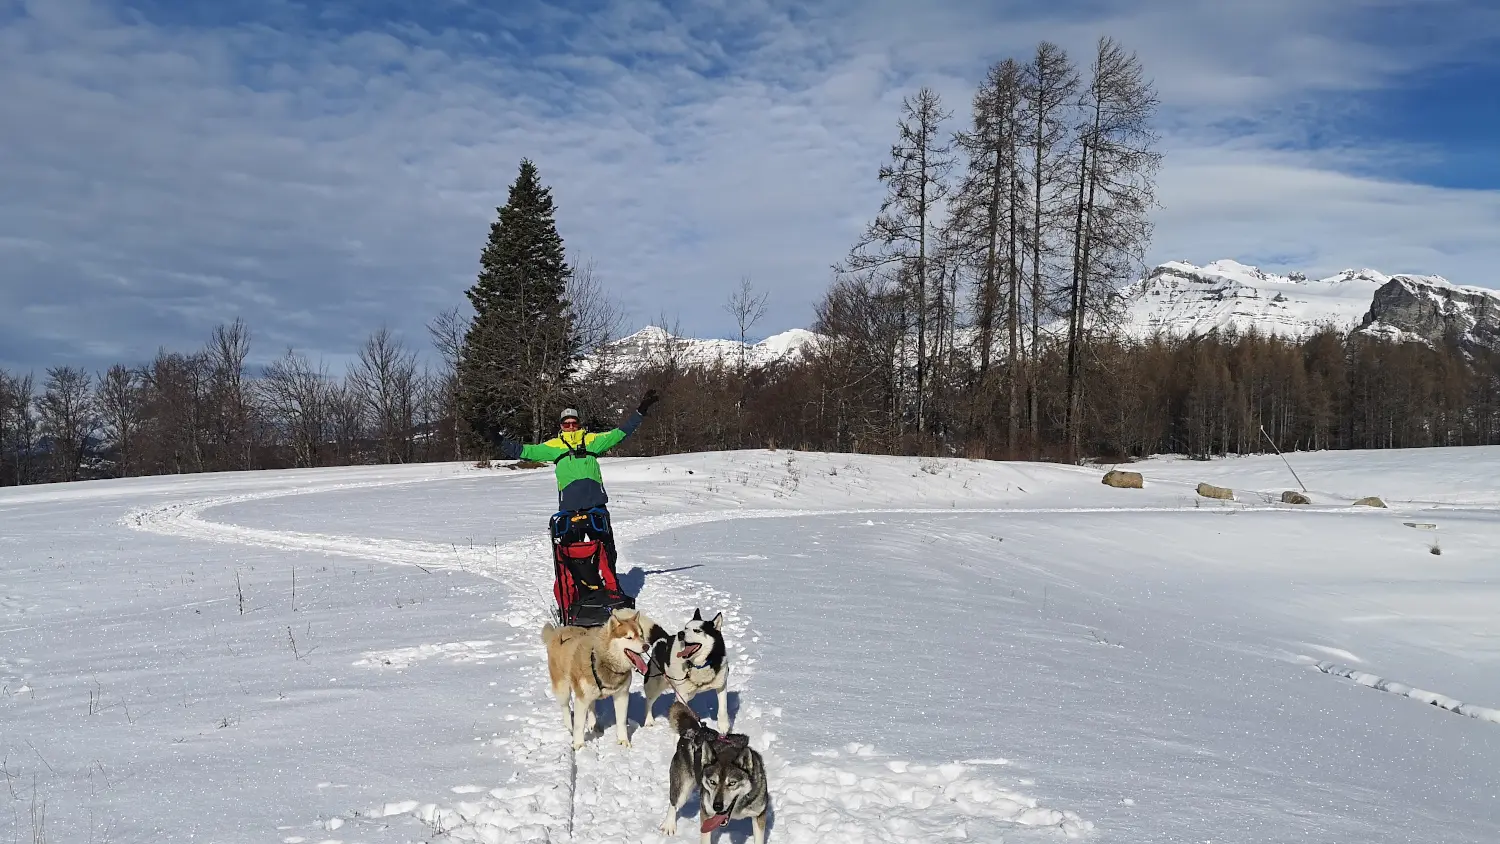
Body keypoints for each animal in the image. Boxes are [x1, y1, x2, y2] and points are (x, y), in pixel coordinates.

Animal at [543, 608, 654, 752]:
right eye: (629, 637)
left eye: (641, 635)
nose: (646, 646)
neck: (605, 663)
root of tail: (559, 630)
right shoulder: (581, 699)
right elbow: (579, 725)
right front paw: (579, 745)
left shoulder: (622, 695)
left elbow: (621, 721)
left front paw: (623, 741)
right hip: (563, 689)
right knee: (566, 707)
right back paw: (569, 727)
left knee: (592, 705)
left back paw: (593, 724)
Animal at [660, 701, 768, 844]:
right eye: (712, 782)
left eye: (732, 783)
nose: (717, 806)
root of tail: (696, 730)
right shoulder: (706, 812)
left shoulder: (759, 814)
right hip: (683, 789)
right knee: (674, 802)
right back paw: (669, 825)